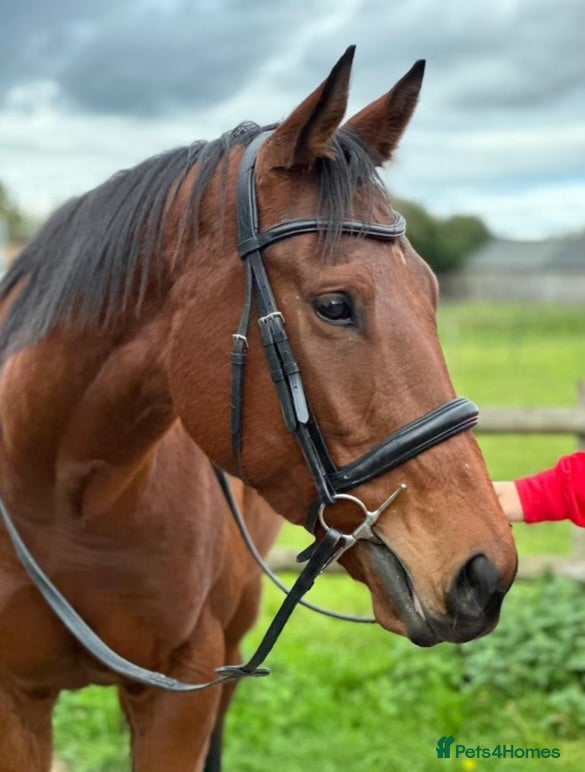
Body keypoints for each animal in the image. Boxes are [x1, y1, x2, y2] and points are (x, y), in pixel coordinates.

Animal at [0, 46, 517, 771]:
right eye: (334, 305)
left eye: (431, 291)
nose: (484, 571)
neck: (66, 495)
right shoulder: (15, 698)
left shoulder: (183, 689)